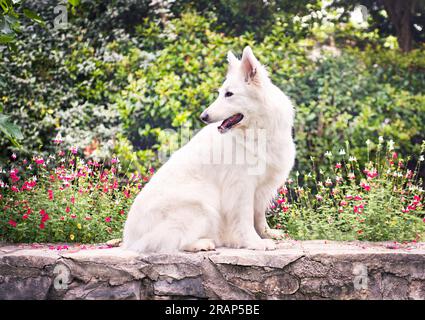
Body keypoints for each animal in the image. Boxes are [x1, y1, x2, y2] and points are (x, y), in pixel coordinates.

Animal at [122, 47, 294, 252]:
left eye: (229, 94)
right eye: (221, 93)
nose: (203, 116)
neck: (258, 132)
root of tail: (129, 241)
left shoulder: (261, 188)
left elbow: (259, 216)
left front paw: (267, 234)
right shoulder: (240, 187)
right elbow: (245, 218)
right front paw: (254, 242)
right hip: (202, 206)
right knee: (175, 242)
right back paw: (202, 243)